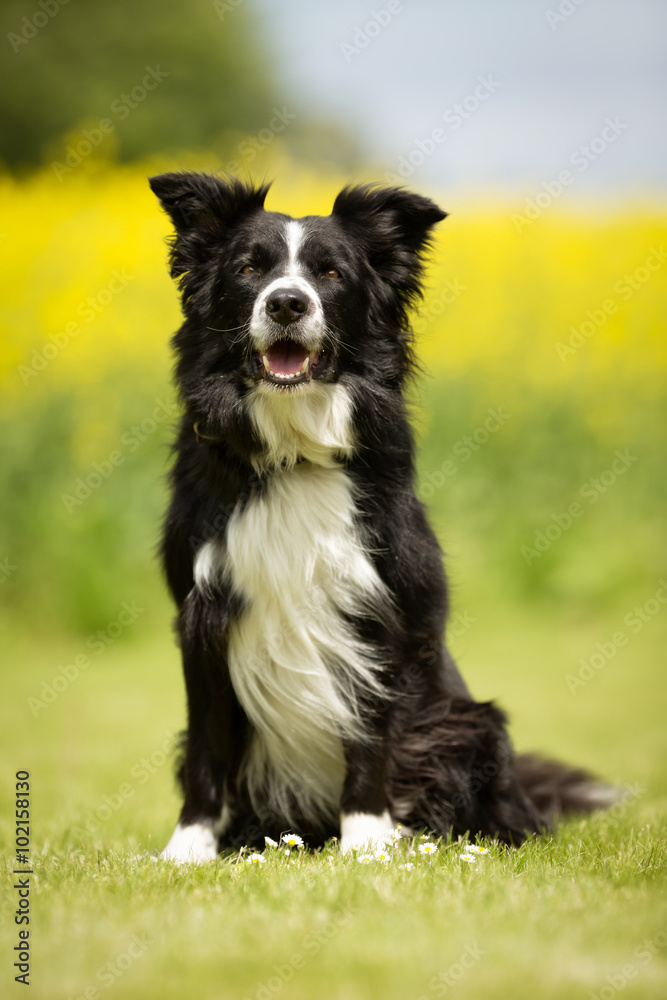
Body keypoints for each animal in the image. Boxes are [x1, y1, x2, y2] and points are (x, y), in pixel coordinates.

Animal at [150, 172, 612, 860]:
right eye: (249, 268)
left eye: (331, 273)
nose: (287, 304)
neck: (295, 453)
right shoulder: (202, 615)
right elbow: (206, 744)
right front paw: (187, 849)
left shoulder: (380, 611)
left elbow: (369, 732)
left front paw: (367, 841)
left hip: (469, 723)